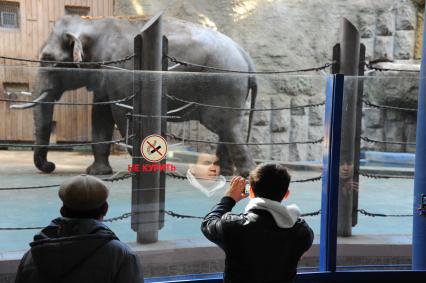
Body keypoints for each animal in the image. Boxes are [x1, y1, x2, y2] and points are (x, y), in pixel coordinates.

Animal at [13, 15, 258, 178]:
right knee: (226, 128)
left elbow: (122, 113)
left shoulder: (123, 71)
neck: (93, 24)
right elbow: (100, 115)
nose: (50, 166)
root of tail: (246, 56)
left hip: (223, 85)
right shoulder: (105, 74)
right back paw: (222, 174)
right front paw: (97, 173)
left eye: (47, 59)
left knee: (226, 126)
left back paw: (247, 175)